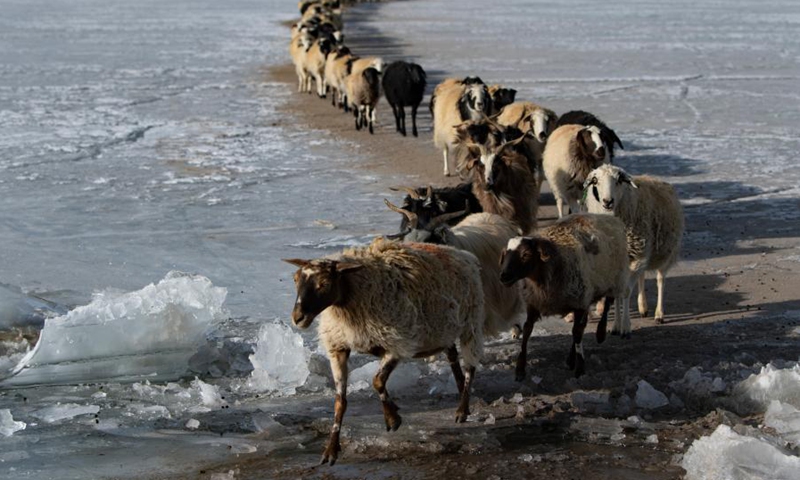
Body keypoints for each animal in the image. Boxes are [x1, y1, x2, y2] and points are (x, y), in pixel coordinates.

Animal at [283, 238, 484, 465]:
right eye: (295, 279)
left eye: (324, 284)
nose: (297, 318)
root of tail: (461, 254)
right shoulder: (338, 347)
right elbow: (339, 402)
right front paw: (331, 450)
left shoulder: (397, 344)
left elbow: (377, 381)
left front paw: (393, 419)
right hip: (444, 329)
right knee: (452, 357)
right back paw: (460, 394)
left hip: (471, 323)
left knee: (470, 366)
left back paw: (462, 410)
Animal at [499, 213, 630, 378]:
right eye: (505, 254)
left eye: (526, 254)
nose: (504, 277)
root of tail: (608, 216)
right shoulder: (535, 302)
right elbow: (528, 330)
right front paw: (520, 369)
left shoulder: (579, 302)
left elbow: (577, 333)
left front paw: (580, 368)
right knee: (582, 325)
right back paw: (570, 359)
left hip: (614, 279)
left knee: (607, 305)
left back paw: (600, 333)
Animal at [582, 164, 684, 332]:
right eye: (595, 181)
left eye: (619, 180)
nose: (607, 201)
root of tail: (653, 177)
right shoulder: (619, 261)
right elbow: (617, 292)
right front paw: (616, 326)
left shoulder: (638, 256)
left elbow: (625, 291)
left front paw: (625, 327)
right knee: (641, 277)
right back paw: (643, 307)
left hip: (665, 253)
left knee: (660, 280)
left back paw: (659, 314)